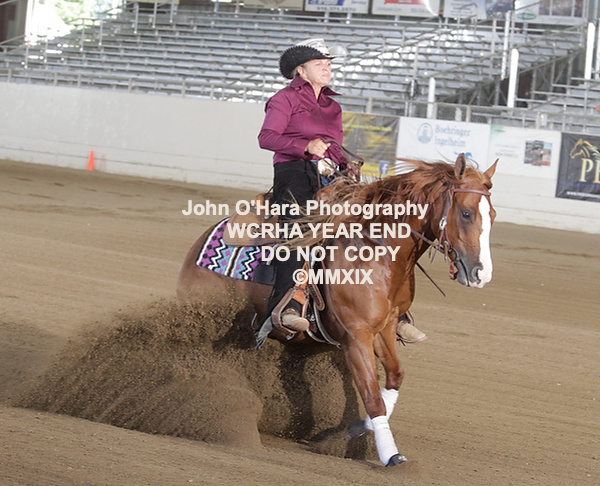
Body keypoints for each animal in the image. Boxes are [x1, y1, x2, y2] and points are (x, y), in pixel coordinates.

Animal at [177, 153, 498, 467]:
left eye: (492, 215)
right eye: (466, 213)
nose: (482, 274)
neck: (376, 251)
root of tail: (201, 243)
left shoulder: (384, 327)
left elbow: (394, 377)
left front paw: (353, 430)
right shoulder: (356, 336)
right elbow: (372, 396)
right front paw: (390, 454)